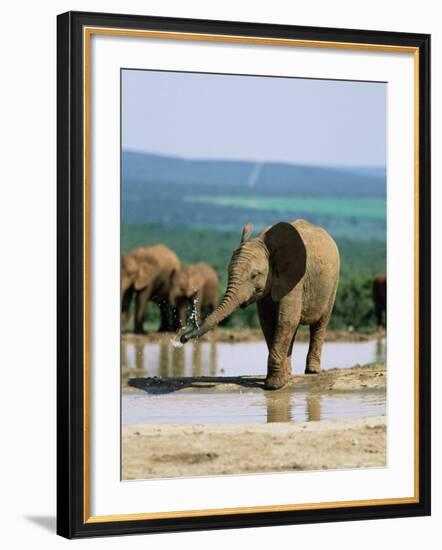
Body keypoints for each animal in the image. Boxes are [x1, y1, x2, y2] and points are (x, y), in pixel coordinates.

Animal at [181, 221, 340, 392]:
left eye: (254, 275)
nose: (183, 338)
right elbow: (268, 322)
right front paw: (280, 380)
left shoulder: (295, 280)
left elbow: (286, 320)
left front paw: (274, 386)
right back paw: (289, 372)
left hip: (333, 284)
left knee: (319, 323)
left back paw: (312, 371)